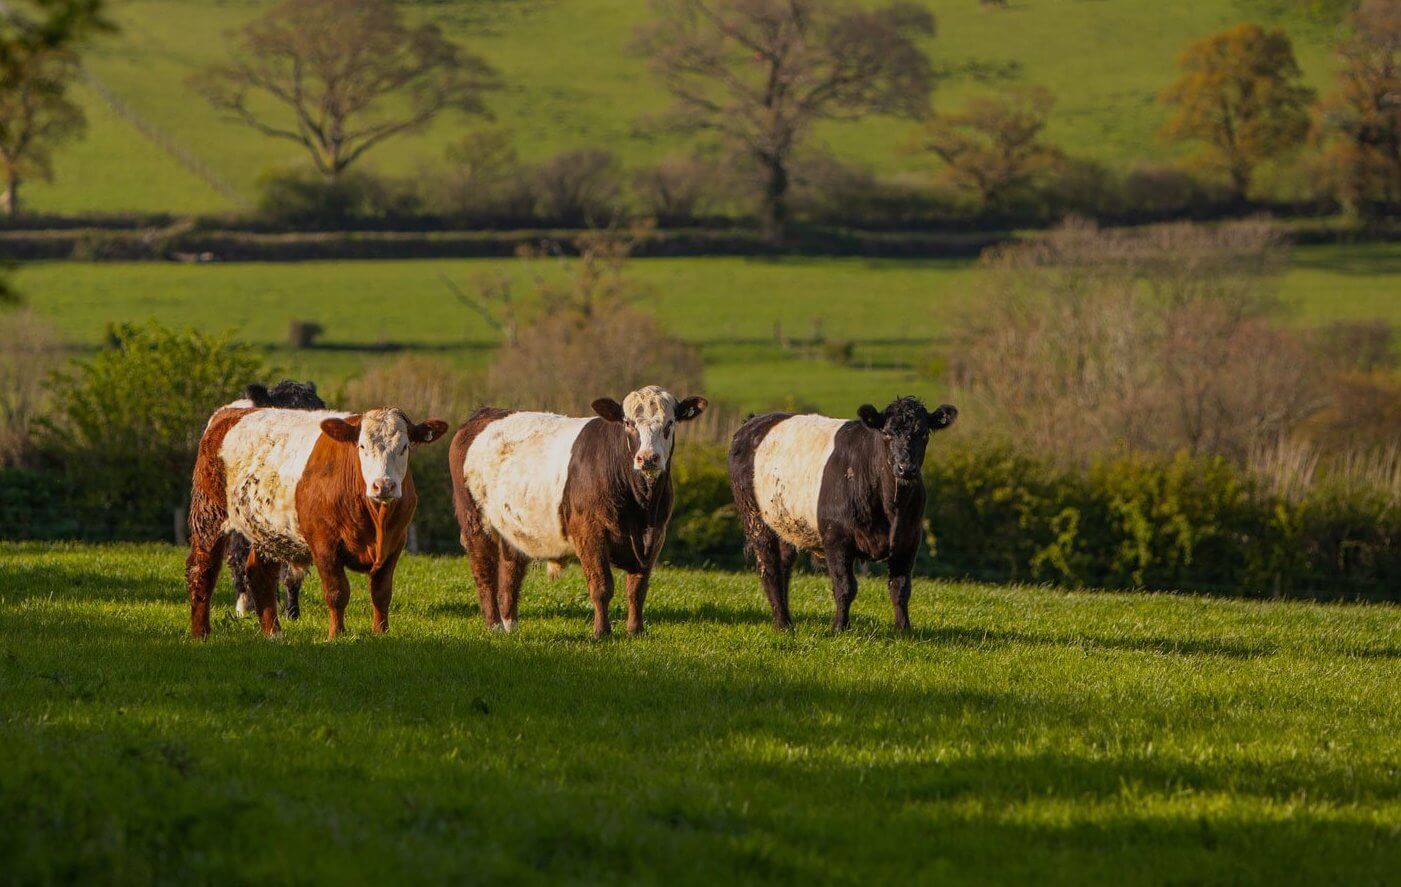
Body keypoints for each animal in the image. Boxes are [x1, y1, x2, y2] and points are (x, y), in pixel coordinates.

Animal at [186, 405, 448, 639]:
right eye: (362, 446)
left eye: (405, 447)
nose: (383, 485)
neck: (376, 521)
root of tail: (229, 413)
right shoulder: (324, 543)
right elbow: (337, 592)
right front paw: (337, 635)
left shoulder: (395, 543)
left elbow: (381, 593)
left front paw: (381, 633)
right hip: (209, 516)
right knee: (202, 570)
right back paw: (201, 634)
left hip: (267, 530)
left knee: (259, 574)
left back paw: (273, 633)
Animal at [449, 385, 707, 639]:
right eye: (628, 423)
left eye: (670, 423)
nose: (648, 458)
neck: (641, 507)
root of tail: (485, 413)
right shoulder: (589, 532)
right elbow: (601, 586)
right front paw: (601, 632)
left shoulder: (655, 536)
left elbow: (637, 588)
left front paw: (636, 631)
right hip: (475, 520)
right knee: (484, 571)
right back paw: (493, 624)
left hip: (513, 527)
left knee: (511, 571)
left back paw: (510, 625)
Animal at [728, 397, 957, 633]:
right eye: (886, 433)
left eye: (924, 434)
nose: (906, 468)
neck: (890, 509)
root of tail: (754, 421)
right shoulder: (836, 536)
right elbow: (845, 586)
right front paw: (840, 627)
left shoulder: (909, 538)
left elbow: (900, 588)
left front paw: (903, 630)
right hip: (755, 518)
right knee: (769, 567)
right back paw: (782, 624)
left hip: (786, 523)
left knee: (784, 565)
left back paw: (787, 620)